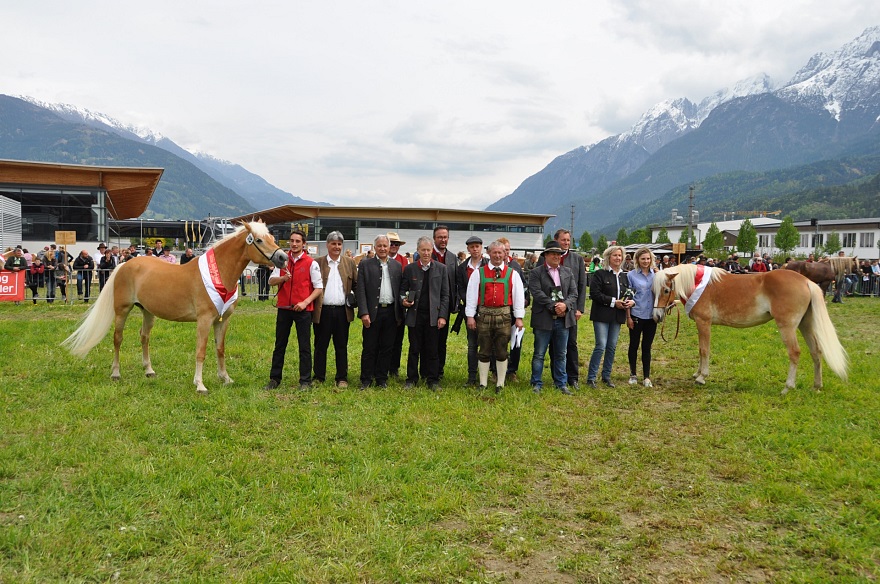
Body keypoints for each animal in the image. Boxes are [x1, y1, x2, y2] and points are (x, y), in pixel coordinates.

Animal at [62, 221, 288, 394]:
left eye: (271, 237)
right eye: (258, 240)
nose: (283, 258)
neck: (220, 273)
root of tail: (125, 264)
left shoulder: (222, 320)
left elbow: (220, 349)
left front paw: (225, 378)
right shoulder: (204, 320)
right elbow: (201, 351)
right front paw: (200, 384)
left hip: (147, 311)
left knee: (144, 337)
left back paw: (149, 371)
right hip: (122, 310)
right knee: (118, 339)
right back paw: (116, 373)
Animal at [652, 264, 844, 392]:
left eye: (666, 290)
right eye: (653, 291)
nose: (656, 316)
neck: (698, 284)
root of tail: (805, 281)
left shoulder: (703, 322)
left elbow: (704, 350)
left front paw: (702, 377)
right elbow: (701, 350)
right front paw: (697, 373)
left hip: (788, 327)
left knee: (795, 352)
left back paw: (788, 387)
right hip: (805, 325)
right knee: (816, 351)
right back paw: (816, 386)